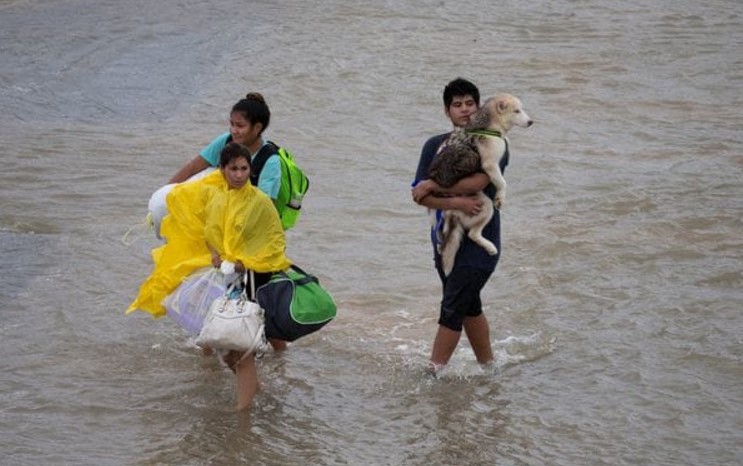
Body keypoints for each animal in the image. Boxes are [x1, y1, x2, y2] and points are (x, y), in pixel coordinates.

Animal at [428, 94, 532, 276]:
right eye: (517, 111)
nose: (531, 121)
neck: (488, 124)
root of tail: (451, 212)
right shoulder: (490, 165)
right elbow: (502, 182)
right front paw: (501, 197)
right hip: (486, 206)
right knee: (473, 234)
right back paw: (490, 247)